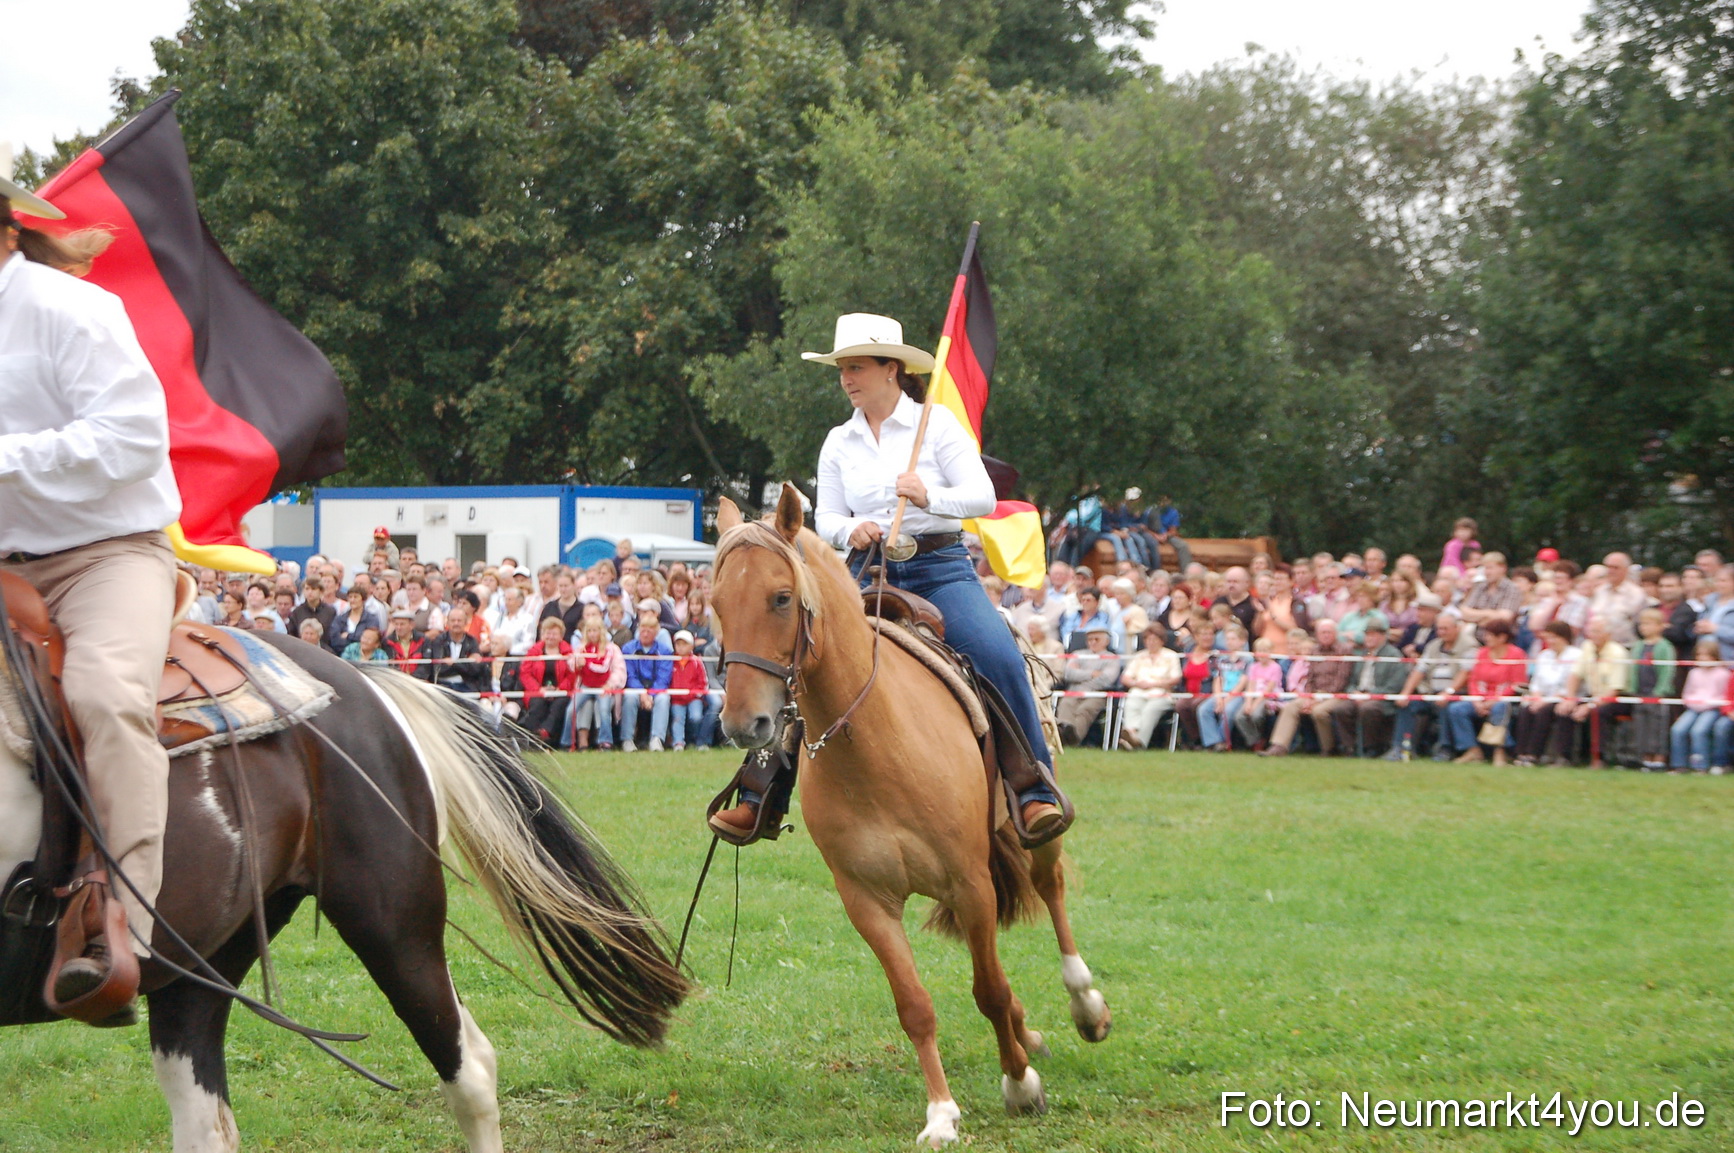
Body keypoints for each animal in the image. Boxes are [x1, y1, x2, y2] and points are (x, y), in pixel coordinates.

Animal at [709, 485, 1111, 1149]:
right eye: (716, 604)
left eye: (781, 597)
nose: (747, 724)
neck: (875, 742)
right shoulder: (866, 900)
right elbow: (915, 1004)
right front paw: (942, 1112)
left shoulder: (971, 883)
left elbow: (988, 989)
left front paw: (1019, 1085)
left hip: (1030, 828)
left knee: (1049, 886)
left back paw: (1085, 1005)